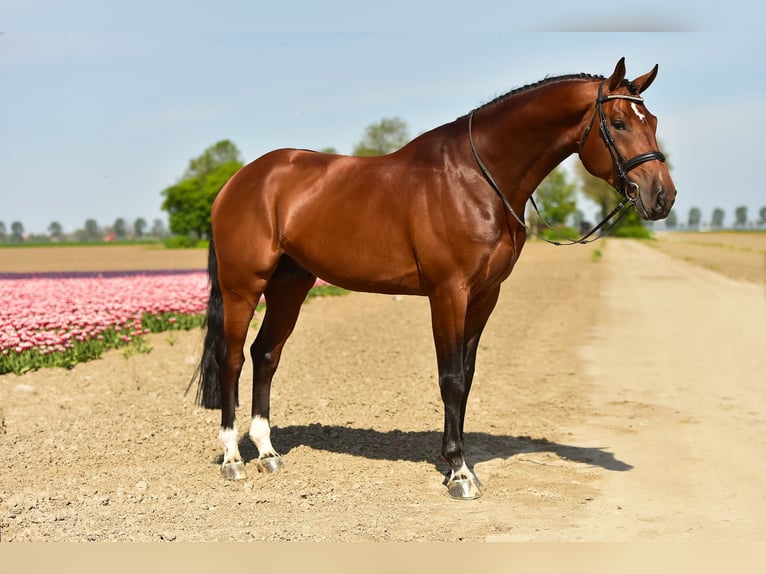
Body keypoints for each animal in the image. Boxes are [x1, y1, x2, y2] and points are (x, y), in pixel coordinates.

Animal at [194, 57, 680, 500]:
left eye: (652, 121)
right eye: (618, 122)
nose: (662, 196)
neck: (476, 180)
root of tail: (239, 181)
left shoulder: (485, 296)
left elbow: (466, 375)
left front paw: (455, 464)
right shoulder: (449, 293)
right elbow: (451, 379)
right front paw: (460, 473)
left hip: (291, 286)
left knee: (266, 354)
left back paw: (267, 452)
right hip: (243, 287)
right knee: (232, 359)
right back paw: (233, 458)